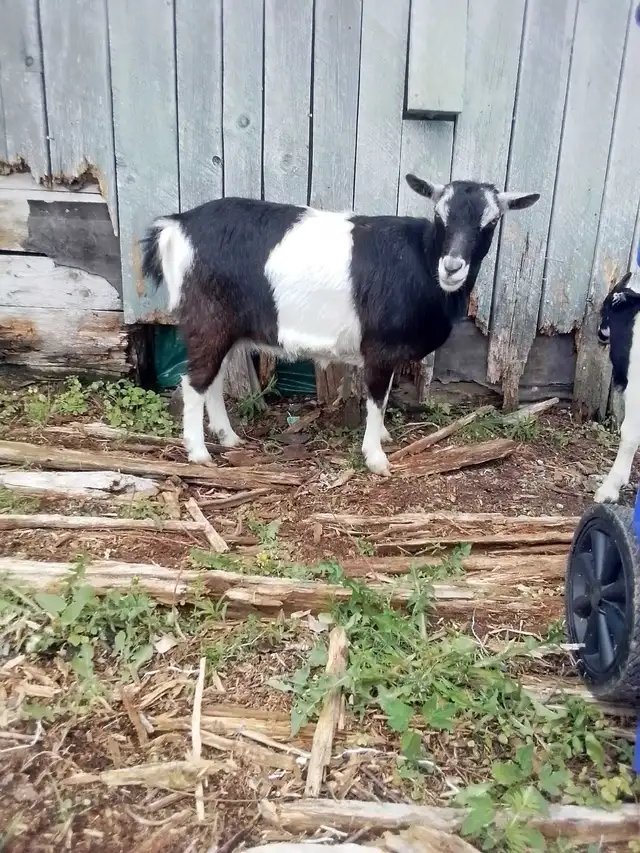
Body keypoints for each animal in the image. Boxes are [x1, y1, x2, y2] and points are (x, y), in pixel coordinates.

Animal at [141, 175, 540, 475]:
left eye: (490, 222)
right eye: (440, 215)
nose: (453, 266)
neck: (423, 259)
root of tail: (176, 225)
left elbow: (384, 394)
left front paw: (382, 437)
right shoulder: (379, 348)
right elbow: (376, 397)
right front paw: (376, 458)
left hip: (227, 329)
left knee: (212, 380)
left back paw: (228, 437)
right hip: (208, 321)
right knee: (194, 382)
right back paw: (199, 453)